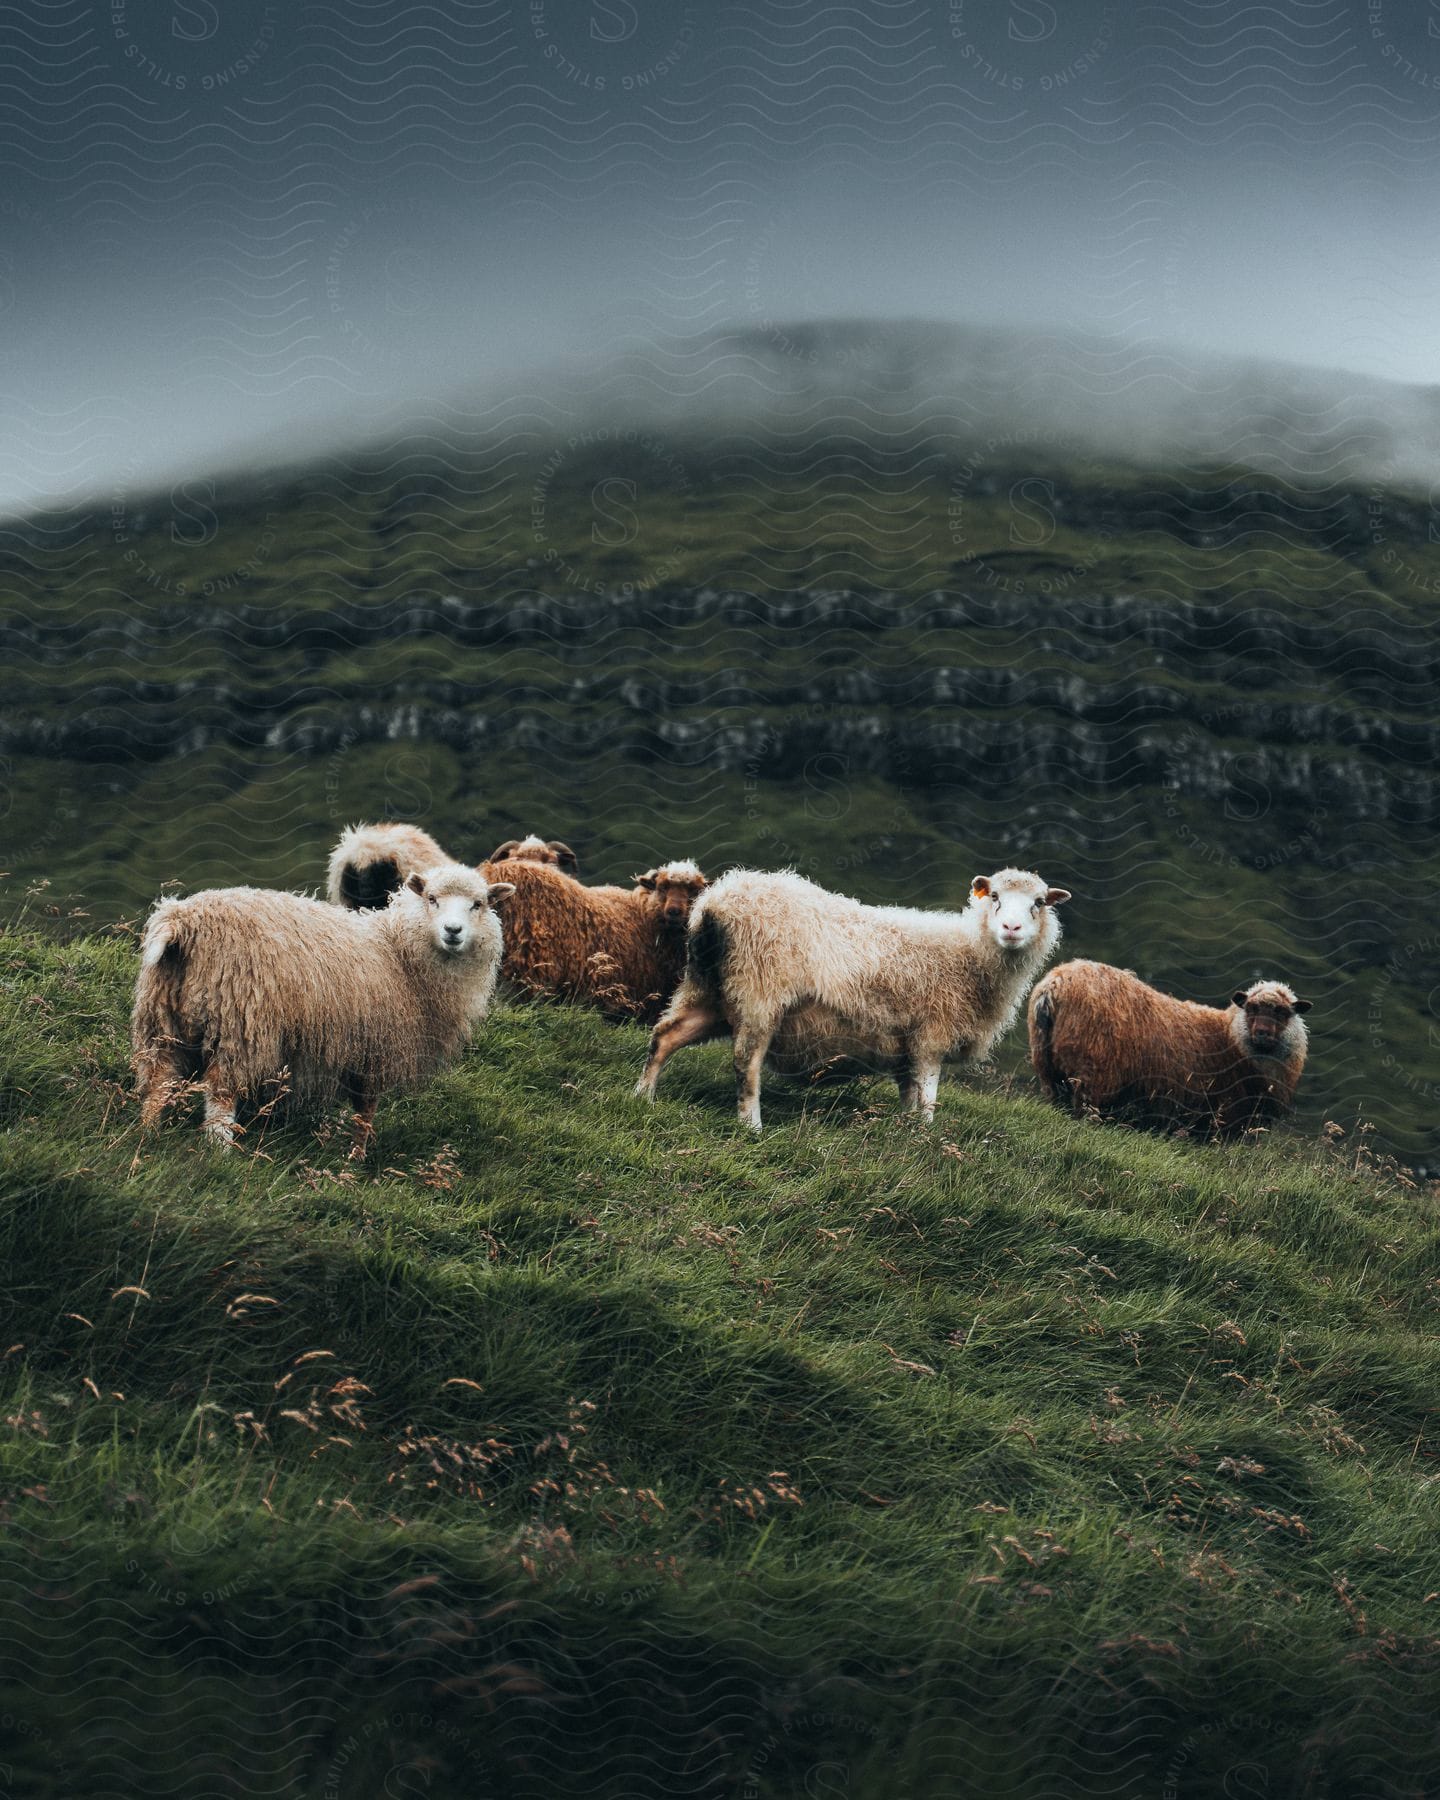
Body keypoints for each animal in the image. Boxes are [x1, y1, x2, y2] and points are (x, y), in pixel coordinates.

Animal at [129, 860, 511, 1152]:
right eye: (432, 898)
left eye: (478, 904)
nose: (453, 930)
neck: (398, 952)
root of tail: (181, 921)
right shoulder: (377, 1050)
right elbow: (365, 1111)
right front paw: (356, 1158)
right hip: (239, 1023)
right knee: (220, 1096)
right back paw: (219, 1152)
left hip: (161, 1018)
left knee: (159, 1080)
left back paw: (148, 1134)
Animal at [637, 856, 1065, 1123]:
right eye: (994, 896)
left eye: (1039, 902)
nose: (1011, 928)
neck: (971, 955)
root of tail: (714, 904)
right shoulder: (931, 1035)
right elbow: (928, 1098)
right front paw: (927, 1139)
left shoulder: (907, 1045)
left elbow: (909, 1096)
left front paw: (906, 1133)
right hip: (760, 991)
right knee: (745, 1063)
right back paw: (750, 1125)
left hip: (709, 990)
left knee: (665, 1036)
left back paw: (643, 1096)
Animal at [1022, 957, 1317, 1137]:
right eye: (1252, 1008)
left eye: (1283, 1012)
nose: (1262, 1033)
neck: (1231, 1040)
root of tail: (1054, 986)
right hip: (1092, 1076)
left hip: (1047, 1068)